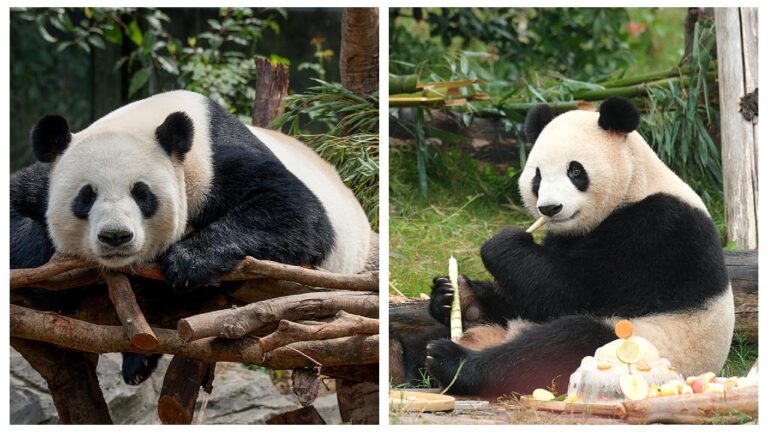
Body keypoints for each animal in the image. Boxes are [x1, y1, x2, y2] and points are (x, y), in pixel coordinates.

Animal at [10, 90, 373, 384]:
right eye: (86, 195)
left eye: (142, 193)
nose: (116, 236)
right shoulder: (46, 177)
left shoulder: (213, 163)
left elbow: (295, 210)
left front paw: (186, 262)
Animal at [411, 97, 734, 397]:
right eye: (537, 175)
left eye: (576, 171)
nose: (550, 208)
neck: (635, 186)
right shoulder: (563, 237)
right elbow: (531, 295)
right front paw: (451, 293)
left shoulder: (657, 230)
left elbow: (573, 291)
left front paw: (502, 244)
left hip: (643, 341)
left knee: (562, 343)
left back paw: (452, 362)